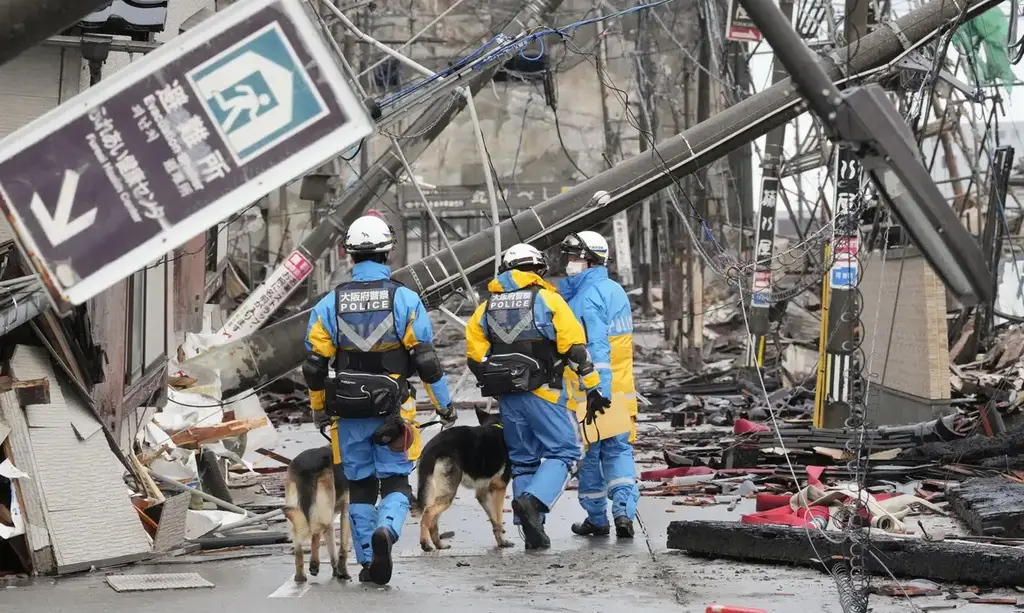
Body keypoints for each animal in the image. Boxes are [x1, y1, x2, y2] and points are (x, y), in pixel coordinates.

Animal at [284, 448, 352, 581]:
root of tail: (304, 468)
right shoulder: (347, 510)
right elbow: (343, 547)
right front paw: (342, 572)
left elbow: (331, 545)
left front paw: (336, 570)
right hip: (324, 511)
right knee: (315, 532)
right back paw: (314, 564)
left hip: (294, 509)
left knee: (298, 543)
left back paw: (300, 576)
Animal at [413, 409, 516, 552]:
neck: (495, 424)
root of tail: (431, 448)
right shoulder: (499, 488)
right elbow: (499, 517)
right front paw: (503, 540)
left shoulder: (482, 493)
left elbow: (493, 519)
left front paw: (500, 540)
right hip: (448, 493)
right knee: (427, 513)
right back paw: (425, 543)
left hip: (437, 493)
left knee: (433, 520)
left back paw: (439, 545)